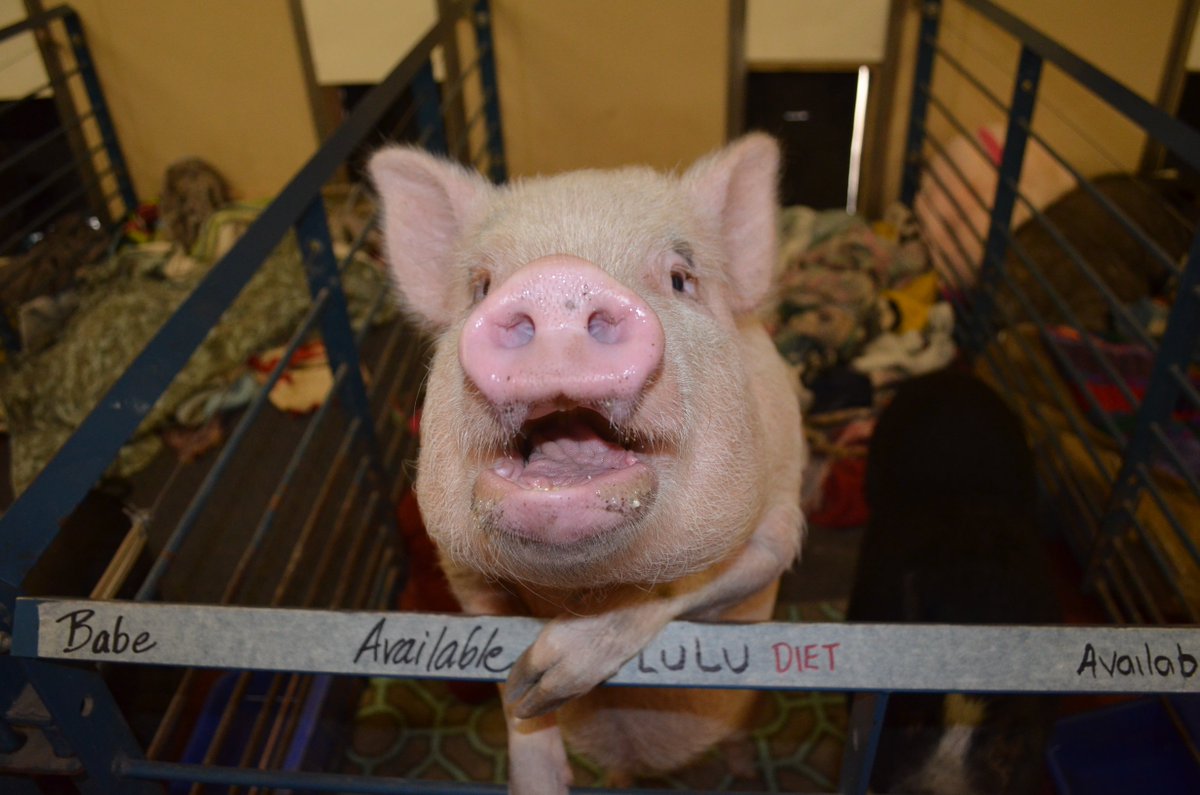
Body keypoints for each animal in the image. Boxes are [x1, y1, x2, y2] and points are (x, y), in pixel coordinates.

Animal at [369, 134, 805, 791]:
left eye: (681, 278)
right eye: (481, 285)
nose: (555, 278)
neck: (586, 585)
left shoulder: (779, 527)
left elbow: (684, 589)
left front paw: (545, 673)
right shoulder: (460, 570)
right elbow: (497, 661)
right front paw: (529, 712)